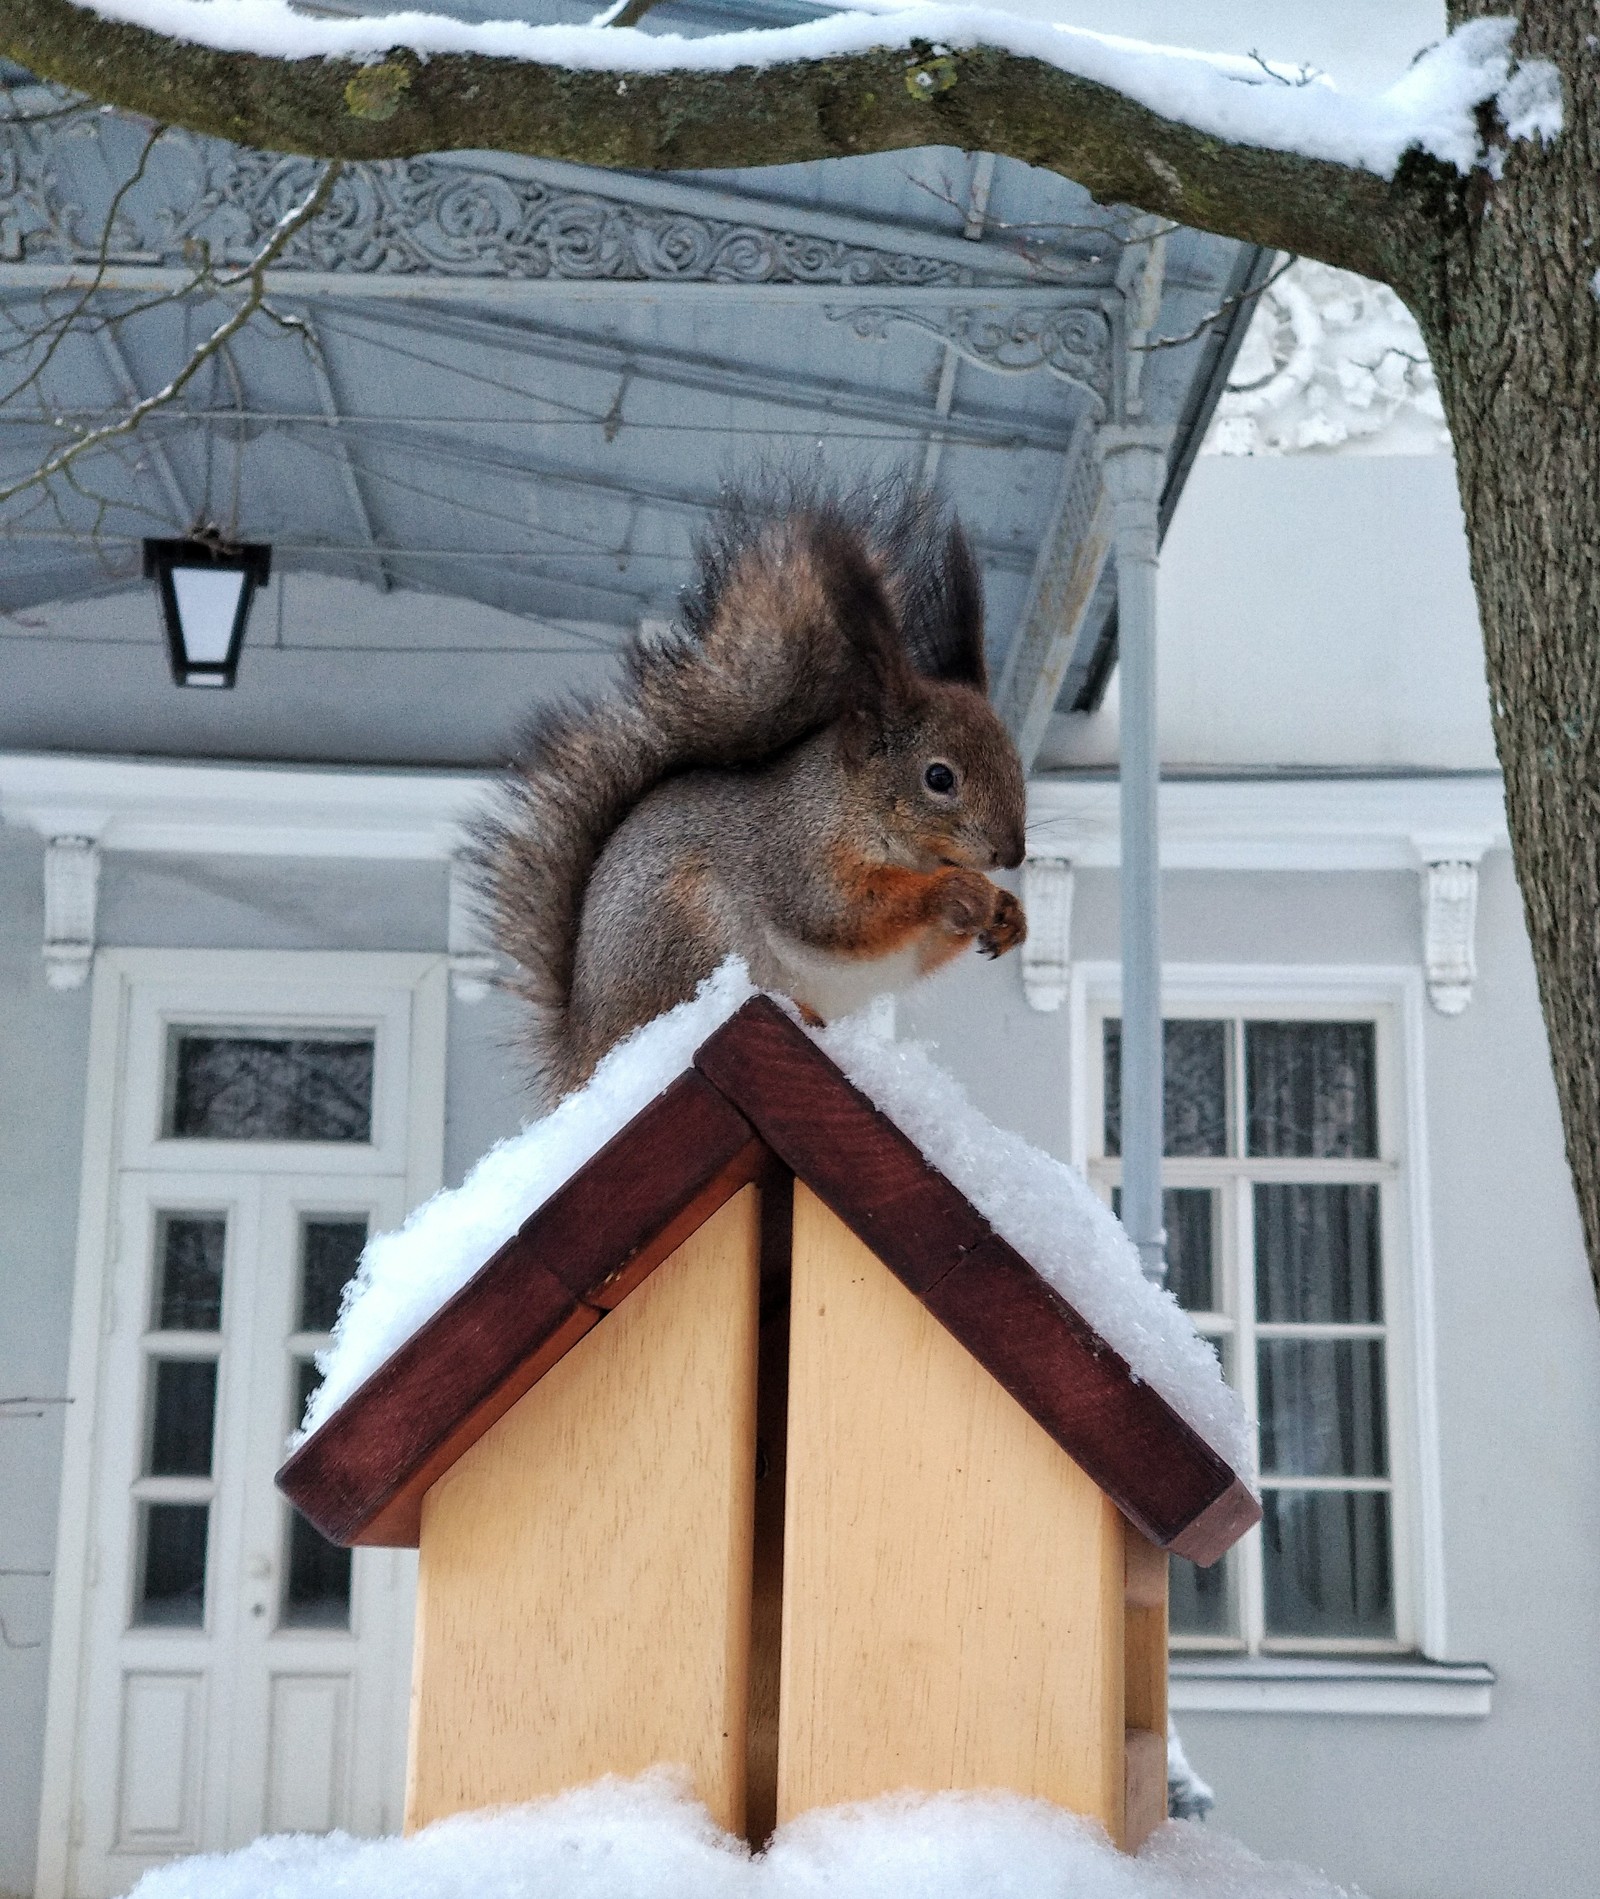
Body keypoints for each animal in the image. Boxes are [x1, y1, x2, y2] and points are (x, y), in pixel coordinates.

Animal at [478, 478, 1024, 1101]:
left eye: (1015, 761)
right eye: (939, 777)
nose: (1012, 855)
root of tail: (587, 1058)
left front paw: (1008, 913)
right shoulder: (799, 853)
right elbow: (842, 914)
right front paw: (959, 890)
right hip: (687, 939)